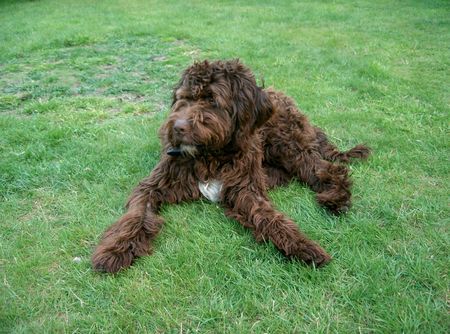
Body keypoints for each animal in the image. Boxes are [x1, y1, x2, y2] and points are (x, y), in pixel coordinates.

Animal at [91, 60, 370, 274]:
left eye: (212, 100)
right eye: (184, 99)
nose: (177, 128)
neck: (210, 156)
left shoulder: (245, 188)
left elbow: (270, 217)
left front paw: (302, 245)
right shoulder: (153, 185)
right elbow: (135, 215)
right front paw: (116, 249)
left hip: (287, 145)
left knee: (327, 170)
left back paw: (336, 198)